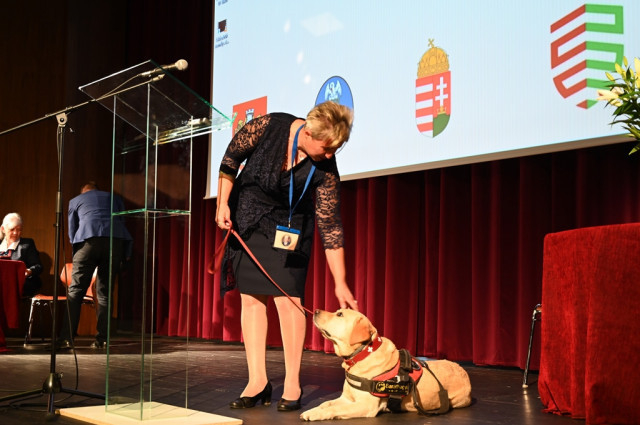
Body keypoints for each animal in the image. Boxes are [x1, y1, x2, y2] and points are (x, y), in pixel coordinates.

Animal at [300, 309, 472, 421]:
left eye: (340, 314)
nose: (315, 310)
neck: (362, 354)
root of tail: (462, 370)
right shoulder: (347, 399)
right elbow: (326, 403)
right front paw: (314, 409)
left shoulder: (366, 406)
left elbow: (335, 408)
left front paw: (314, 414)